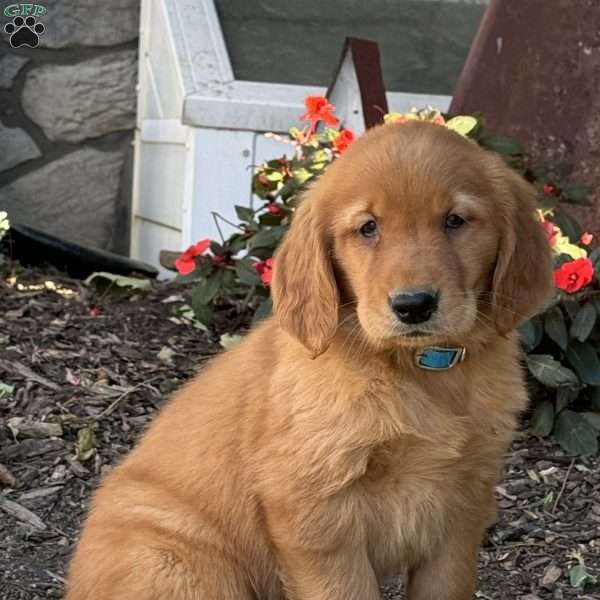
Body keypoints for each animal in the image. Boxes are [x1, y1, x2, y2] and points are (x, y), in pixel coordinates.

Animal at [65, 119, 552, 596]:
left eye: (455, 220)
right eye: (368, 228)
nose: (413, 305)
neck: (417, 370)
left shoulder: (462, 511)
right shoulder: (317, 513)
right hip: (180, 565)